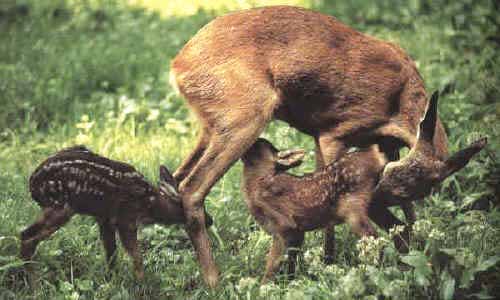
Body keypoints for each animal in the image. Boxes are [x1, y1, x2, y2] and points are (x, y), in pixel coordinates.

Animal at [171, 5, 450, 286]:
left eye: (416, 188)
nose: (374, 204)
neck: (399, 105)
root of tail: (178, 66)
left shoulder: (356, 142)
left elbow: (407, 211)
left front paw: (418, 250)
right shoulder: (334, 131)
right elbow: (330, 195)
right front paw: (328, 263)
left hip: (212, 126)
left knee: (177, 177)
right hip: (245, 115)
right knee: (191, 189)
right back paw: (214, 281)